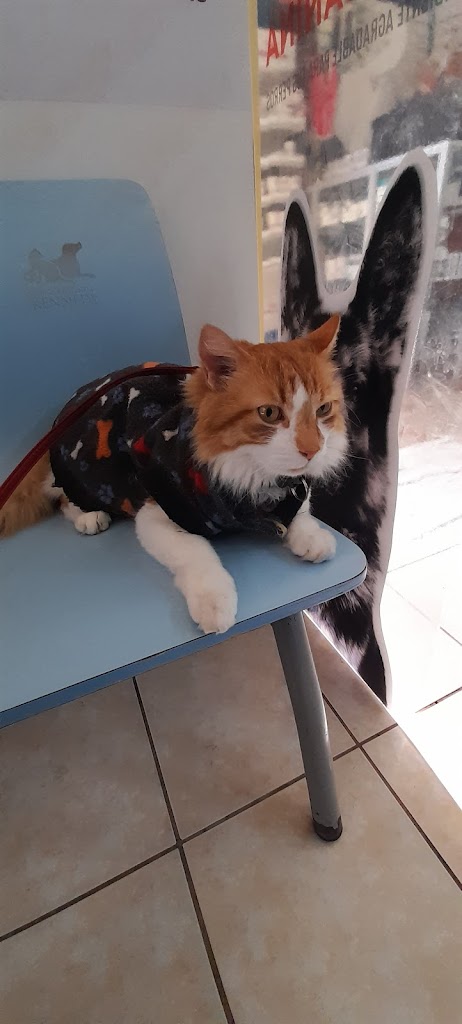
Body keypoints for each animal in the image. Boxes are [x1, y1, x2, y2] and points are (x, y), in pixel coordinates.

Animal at [0, 316, 347, 635]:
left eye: (323, 410)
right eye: (269, 413)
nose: (312, 450)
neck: (250, 477)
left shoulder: (293, 493)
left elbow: (301, 512)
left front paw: (311, 535)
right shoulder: (156, 512)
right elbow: (196, 552)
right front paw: (214, 602)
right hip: (83, 472)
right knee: (61, 497)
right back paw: (89, 516)